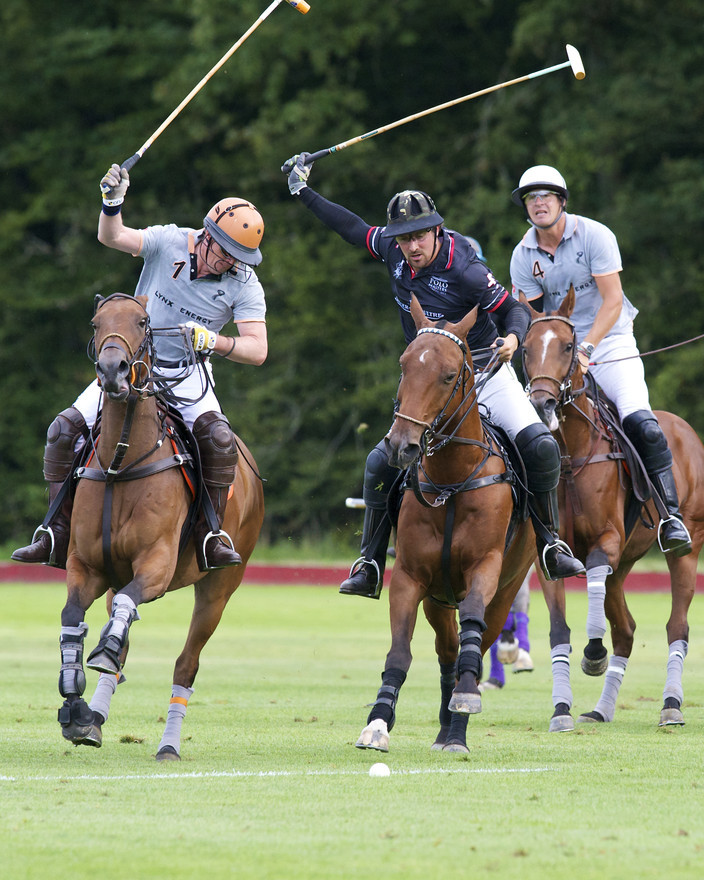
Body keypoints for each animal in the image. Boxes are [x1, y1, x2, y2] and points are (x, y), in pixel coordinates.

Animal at [57, 292, 264, 760]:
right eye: (97, 323)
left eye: (142, 321)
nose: (112, 371)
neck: (119, 464)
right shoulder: (87, 566)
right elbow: (73, 618)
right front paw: (75, 707)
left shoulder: (157, 565)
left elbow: (125, 614)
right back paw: (97, 715)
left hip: (219, 588)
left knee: (186, 663)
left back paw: (169, 745)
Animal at [358, 300, 532, 752]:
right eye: (404, 365)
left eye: (450, 375)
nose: (401, 445)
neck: (451, 481)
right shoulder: (410, 576)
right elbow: (399, 651)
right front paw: (377, 723)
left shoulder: (485, 568)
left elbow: (473, 623)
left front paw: (467, 699)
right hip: (438, 598)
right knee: (448, 650)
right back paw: (444, 728)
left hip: (507, 589)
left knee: (477, 642)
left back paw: (457, 725)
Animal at [524, 288, 704, 728]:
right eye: (525, 348)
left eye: (567, 346)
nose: (541, 404)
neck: (570, 455)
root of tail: (685, 429)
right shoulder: (547, 556)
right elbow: (559, 631)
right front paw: (561, 709)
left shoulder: (606, 540)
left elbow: (592, 573)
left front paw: (593, 653)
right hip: (624, 565)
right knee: (625, 628)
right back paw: (601, 709)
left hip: (686, 547)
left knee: (677, 626)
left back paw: (671, 706)